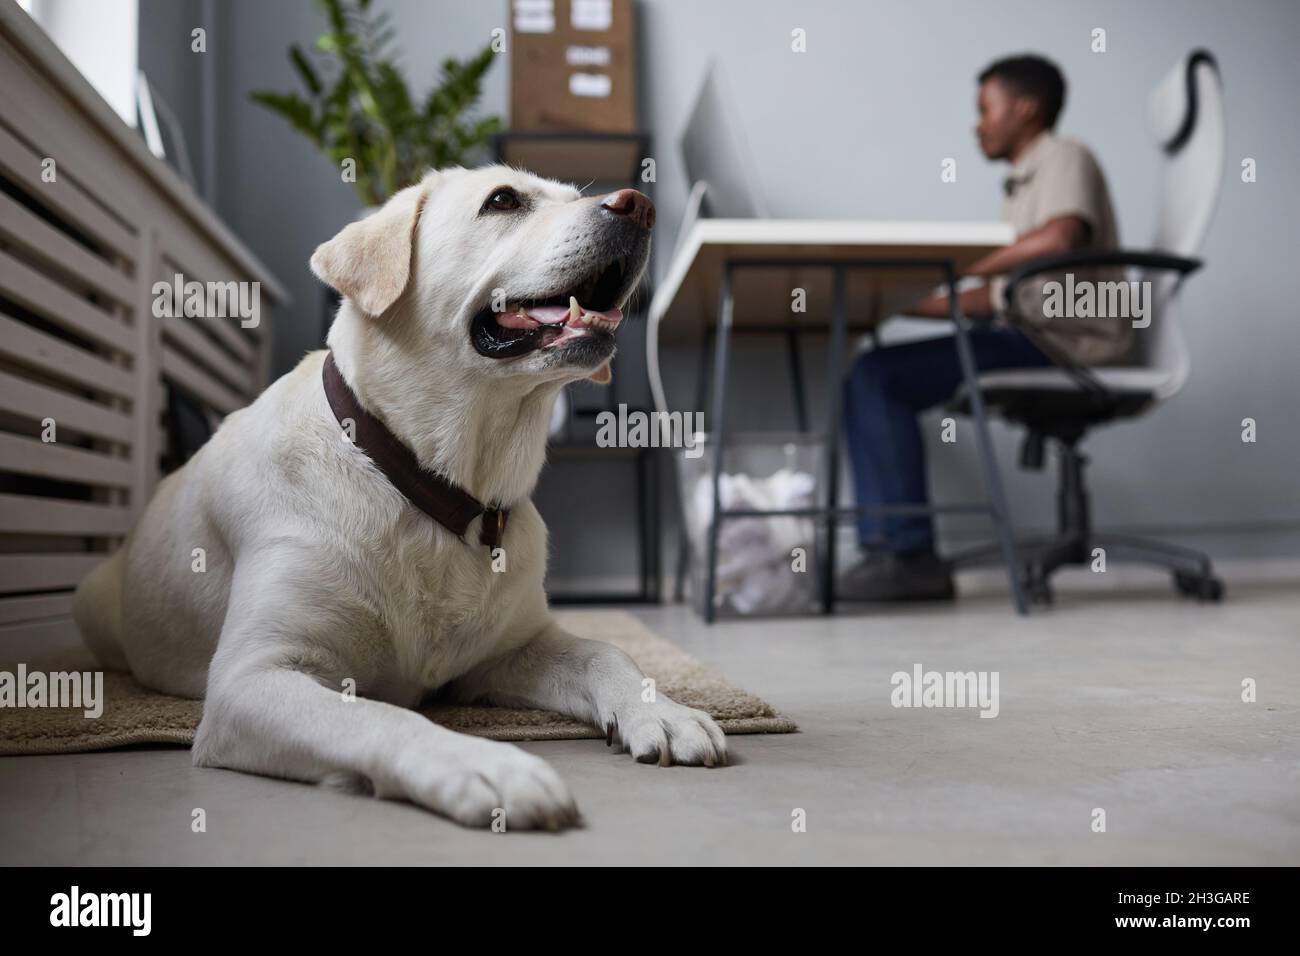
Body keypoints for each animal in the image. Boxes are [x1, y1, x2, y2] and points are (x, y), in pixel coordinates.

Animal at [73, 166, 722, 832]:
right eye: (503, 200)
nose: (640, 205)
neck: (434, 486)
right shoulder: (250, 680)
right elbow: (377, 713)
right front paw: (485, 764)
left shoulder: (507, 652)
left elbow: (607, 652)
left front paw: (662, 710)